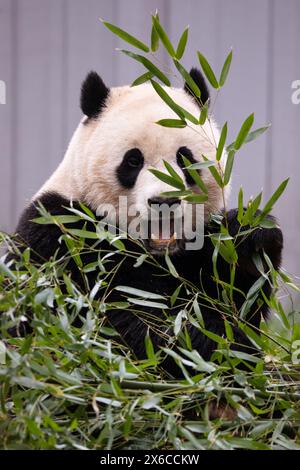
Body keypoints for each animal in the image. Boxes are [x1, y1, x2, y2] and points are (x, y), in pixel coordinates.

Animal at [12, 70, 284, 376]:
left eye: (185, 158)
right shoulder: (62, 236)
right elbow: (127, 323)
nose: (165, 201)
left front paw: (250, 234)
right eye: (133, 161)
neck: (157, 255)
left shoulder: (201, 253)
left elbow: (238, 300)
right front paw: (215, 348)